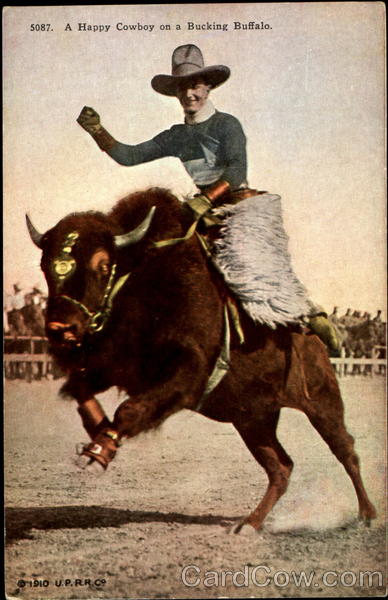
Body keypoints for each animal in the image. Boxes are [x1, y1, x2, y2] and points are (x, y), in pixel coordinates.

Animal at [26, 186, 376, 528]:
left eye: (102, 265)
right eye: (45, 266)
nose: (60, 328)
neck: (141, 277)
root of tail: (313, 338)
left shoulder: (186, 376)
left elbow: (129, 409)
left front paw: (97, 453)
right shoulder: (115, 369)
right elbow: (79, 388)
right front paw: (98, 430)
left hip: (322, 403)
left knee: (346, 449)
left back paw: (366, 515)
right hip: (253, 419)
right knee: (281, 467)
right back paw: (249, 524)